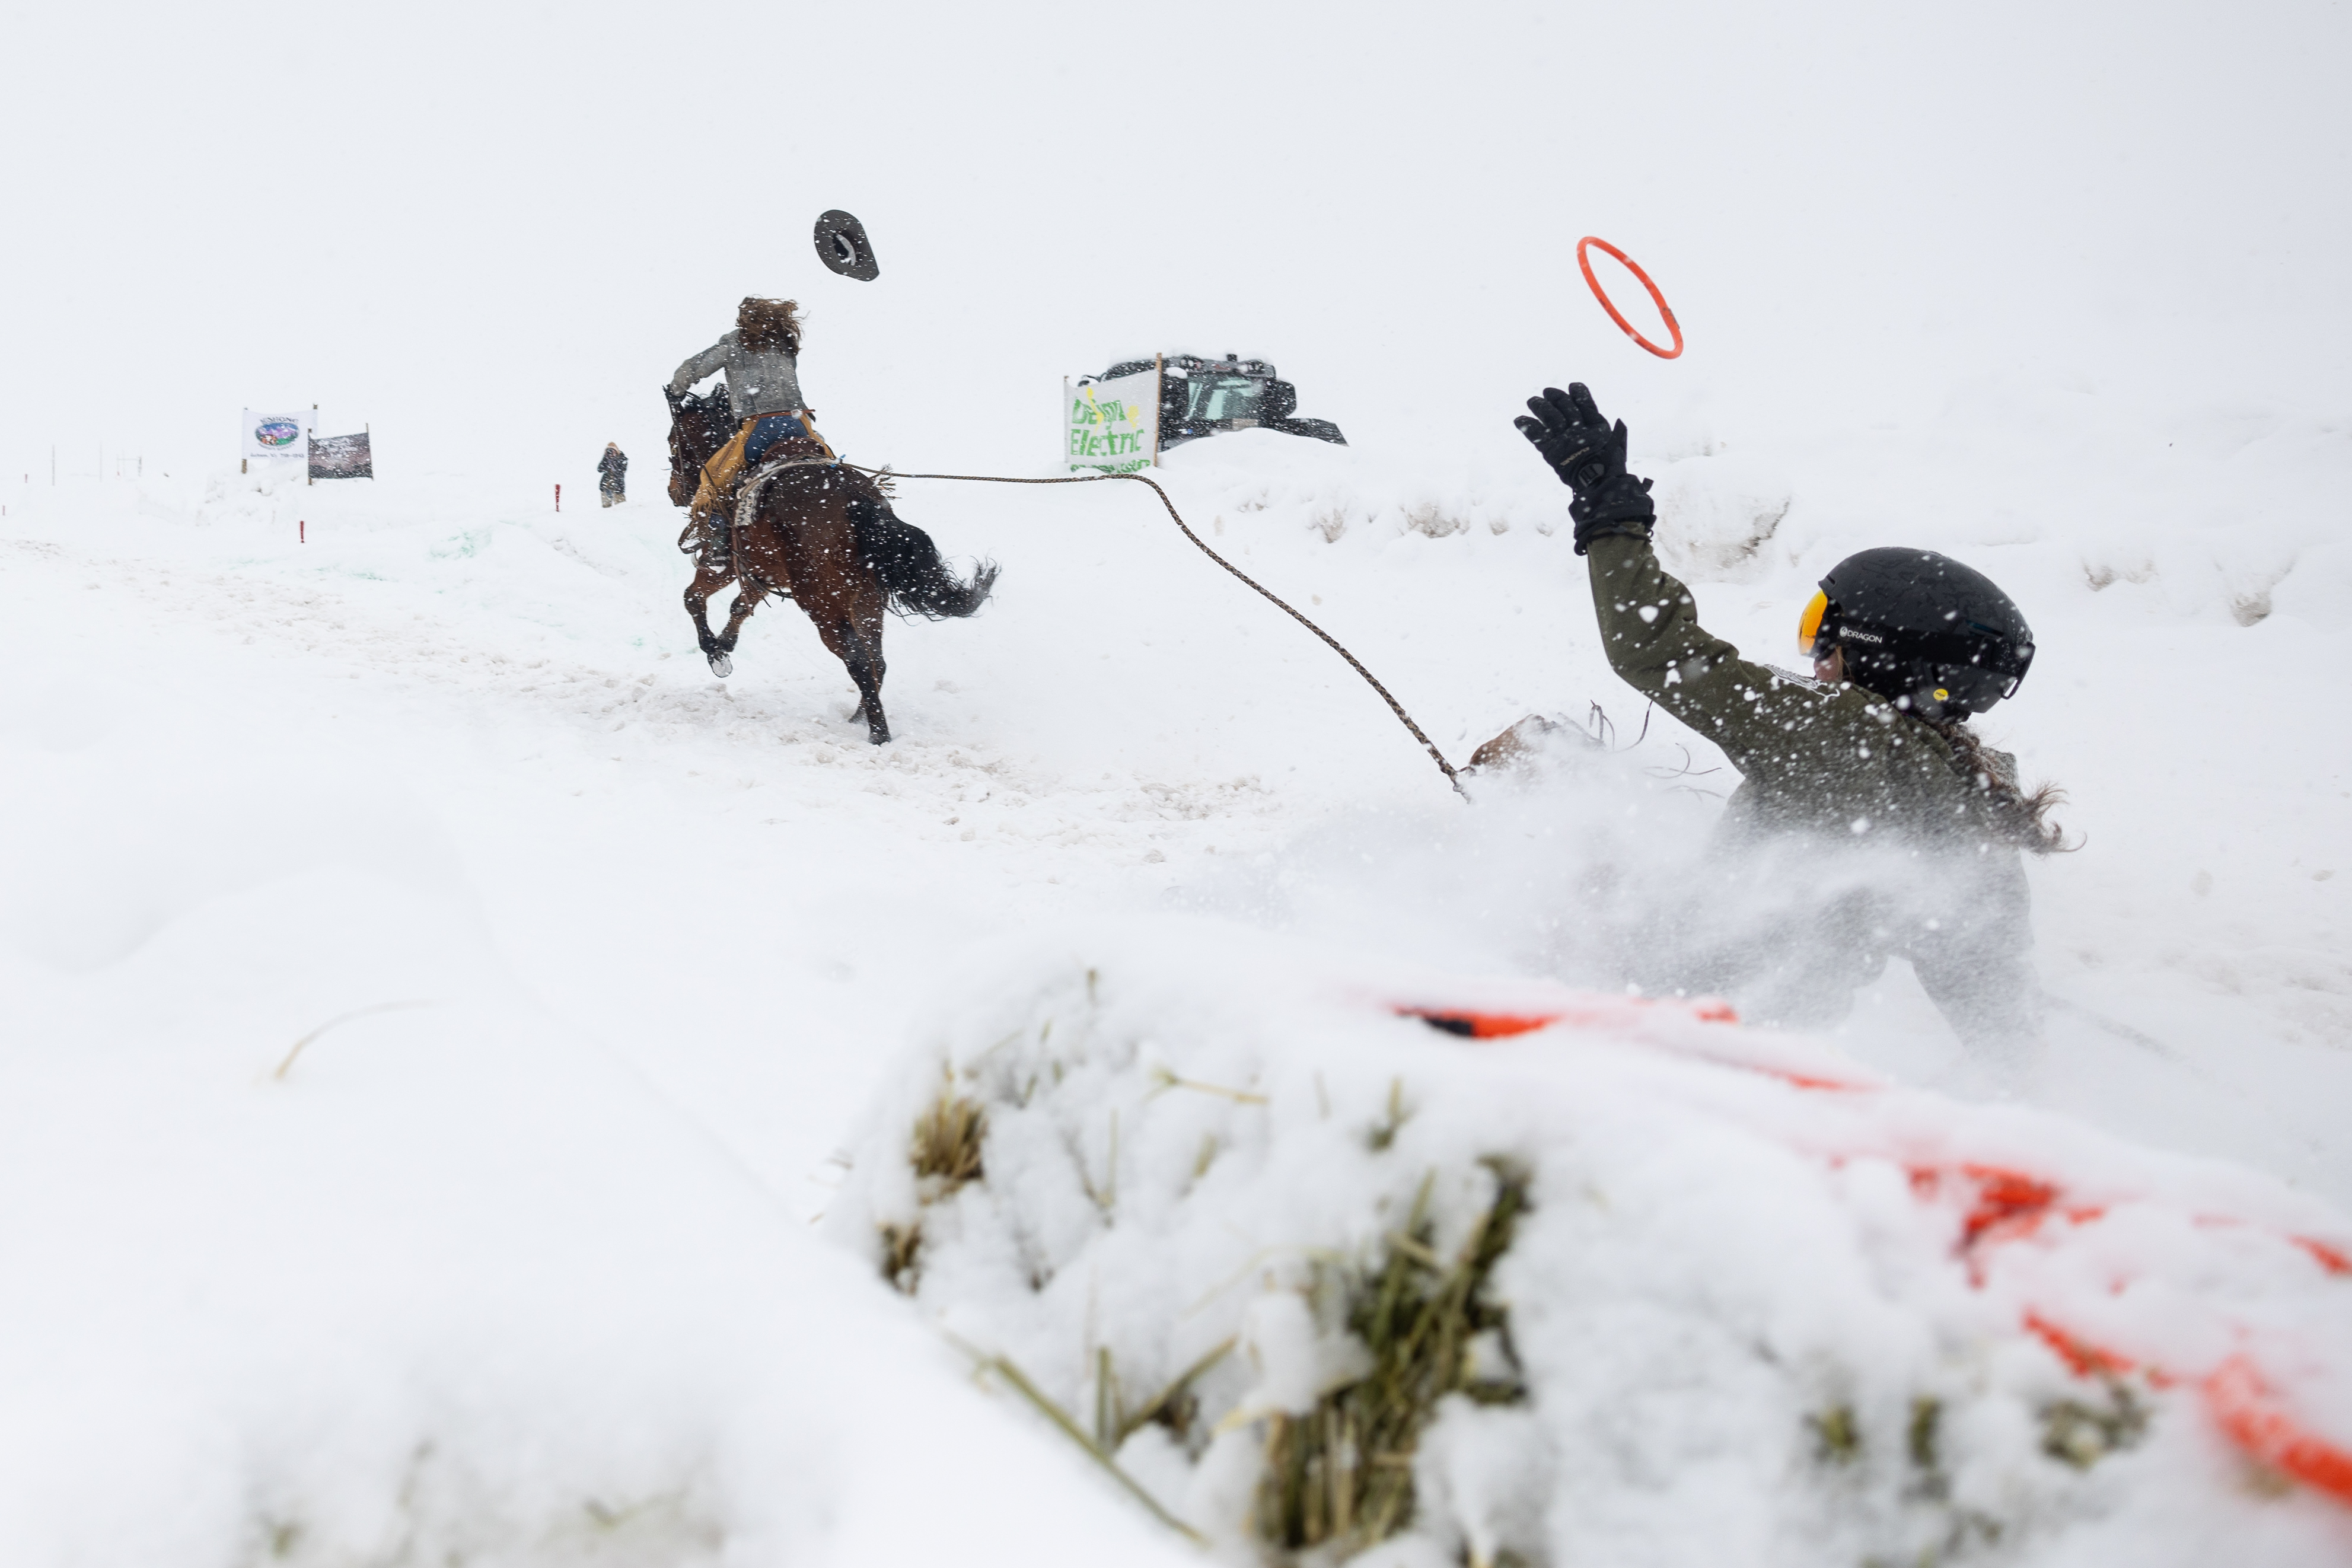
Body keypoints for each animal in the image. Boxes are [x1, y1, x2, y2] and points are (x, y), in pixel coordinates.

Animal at [665, 393, 998, 744]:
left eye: (674, 442)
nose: (674, 491)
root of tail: (857, 501)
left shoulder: (727, 563)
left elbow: (693, 597)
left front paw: (715, 651)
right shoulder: (762, 573)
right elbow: (740, 606)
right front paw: (725, 643)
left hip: (823, 607)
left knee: (859, 661)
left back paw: (878, 733)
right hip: (866, 601)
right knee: (876, 660)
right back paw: (860, 716)